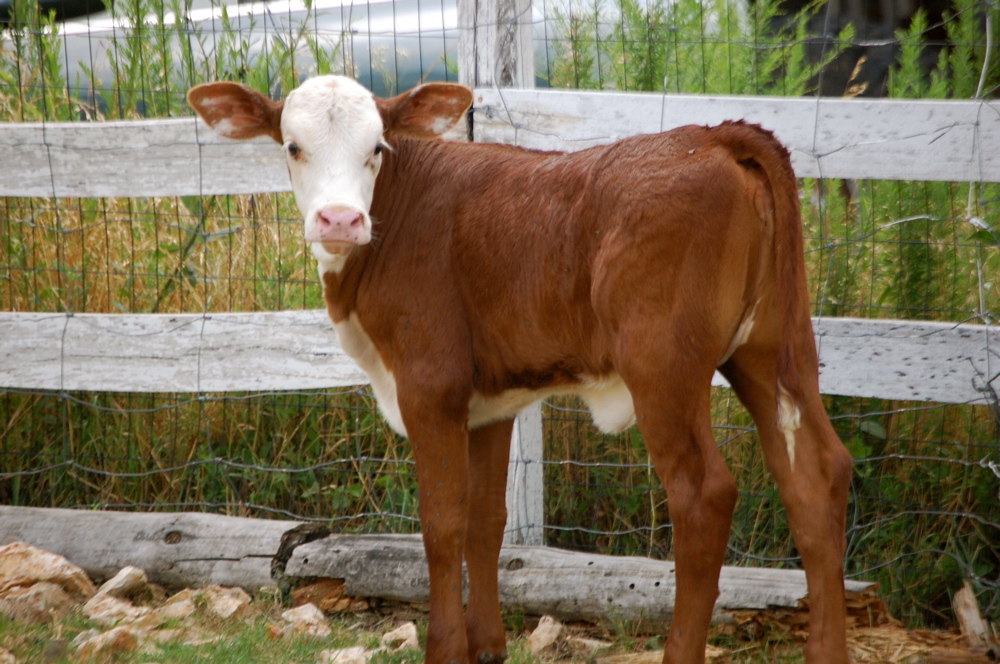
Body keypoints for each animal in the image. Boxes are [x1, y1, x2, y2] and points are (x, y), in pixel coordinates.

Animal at [187, 75, 854, 664]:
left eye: (376, 148)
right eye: (292, 146)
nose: (340, 220)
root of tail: (713, 135)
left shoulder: (430, 385)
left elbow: (442, 523)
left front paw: (444, 650)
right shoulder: (488, 402)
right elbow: (486, 522)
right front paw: (486, 646)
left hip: (663, 366)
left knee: (703, 494)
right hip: (773, 349)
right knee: (816, 472)